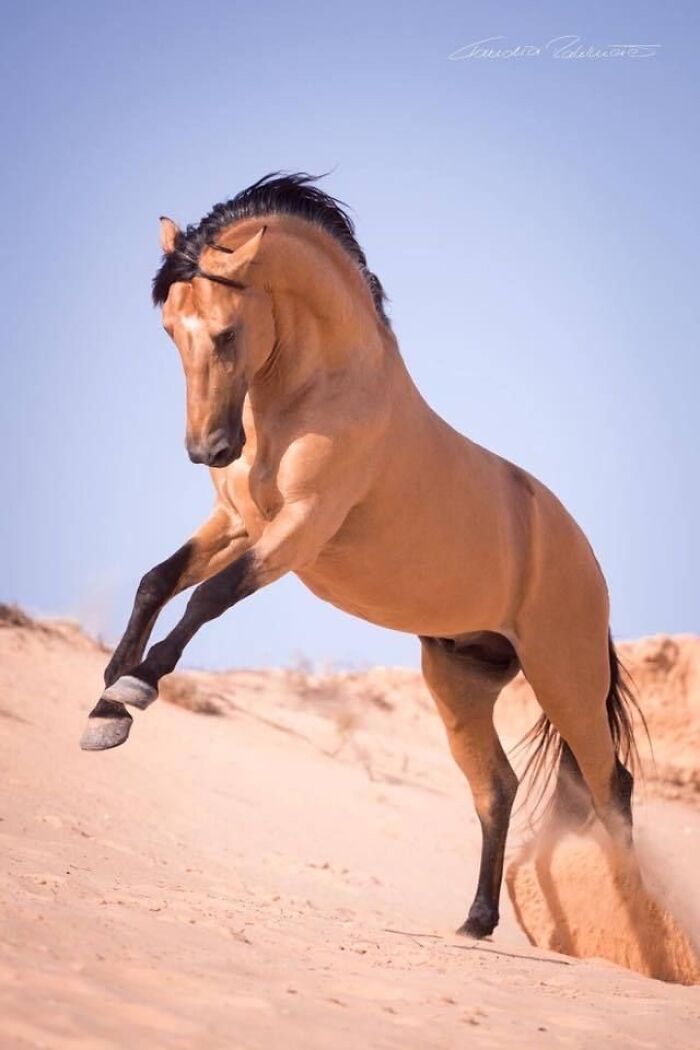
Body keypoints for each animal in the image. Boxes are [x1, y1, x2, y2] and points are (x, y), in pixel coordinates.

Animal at [80, 172, 641, 939]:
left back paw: (638, 929)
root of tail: (588, 563)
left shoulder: (299, 529)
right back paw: (477, 921)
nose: (208, 450)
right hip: (460, 680)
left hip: (566, 677)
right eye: (170, 330)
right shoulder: (237, 522)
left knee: (613, 786)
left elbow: (208, 596)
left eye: (226, 332)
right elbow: (156, 580)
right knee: (498, 787)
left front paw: (135, 688)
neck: (317, 392)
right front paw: (106, 703)